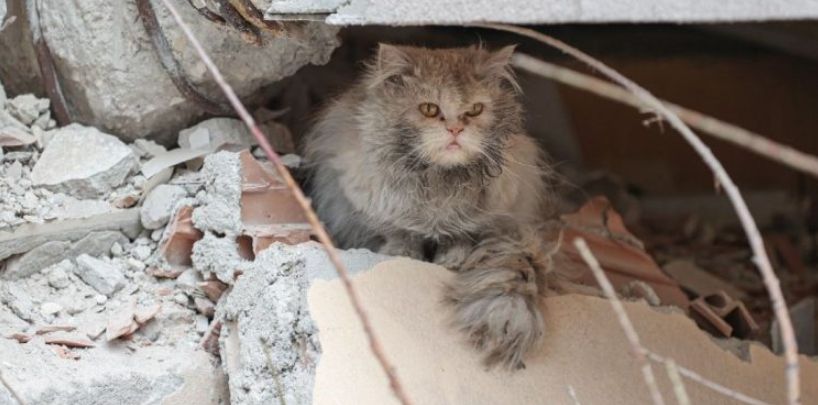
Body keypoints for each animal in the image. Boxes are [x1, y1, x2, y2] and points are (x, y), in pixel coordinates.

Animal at [302, 43, 554, 369]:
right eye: (429, 109)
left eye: (475, 110)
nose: (456, 129)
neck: (437, 183)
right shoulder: (367, 203)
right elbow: (399, 233)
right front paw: (404, 254)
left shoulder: (482, 218)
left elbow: (459, 238)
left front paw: (451, 260)